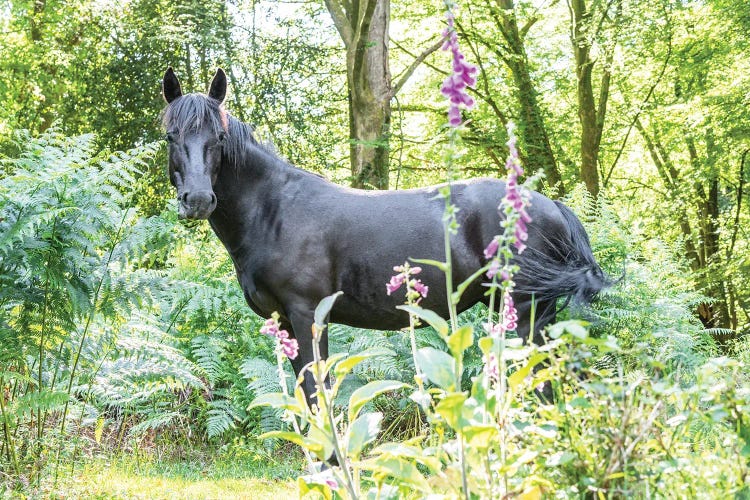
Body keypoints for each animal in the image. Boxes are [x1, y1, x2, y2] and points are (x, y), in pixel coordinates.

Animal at [162, 67, 608, 402]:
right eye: (171, 136)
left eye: (219, 138)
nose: (198, 199)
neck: (274, 210)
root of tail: (551, 205)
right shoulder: (285, 323)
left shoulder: (308, 316)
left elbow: (318, 392)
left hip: (527, 313)